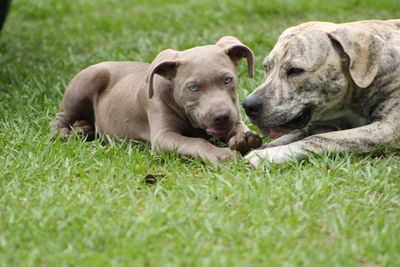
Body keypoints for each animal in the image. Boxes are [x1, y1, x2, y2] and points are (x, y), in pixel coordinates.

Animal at [50, 36, 262, 163]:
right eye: (193, 88)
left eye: (228, 80)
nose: (222, 116)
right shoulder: (163, 136)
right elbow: (196, 143)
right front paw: (220, 155)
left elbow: (239, 128)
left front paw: (245, 139)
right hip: (86, 81)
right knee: (59, 118)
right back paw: (65, 133)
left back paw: (82, 128)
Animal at [242, 18, 400, 166]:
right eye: (266, 67)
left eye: (296, 70)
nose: (248, 105)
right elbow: (297, 133)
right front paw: (266, 147)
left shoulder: (386, 130)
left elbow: (317, 139)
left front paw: (269, 154)